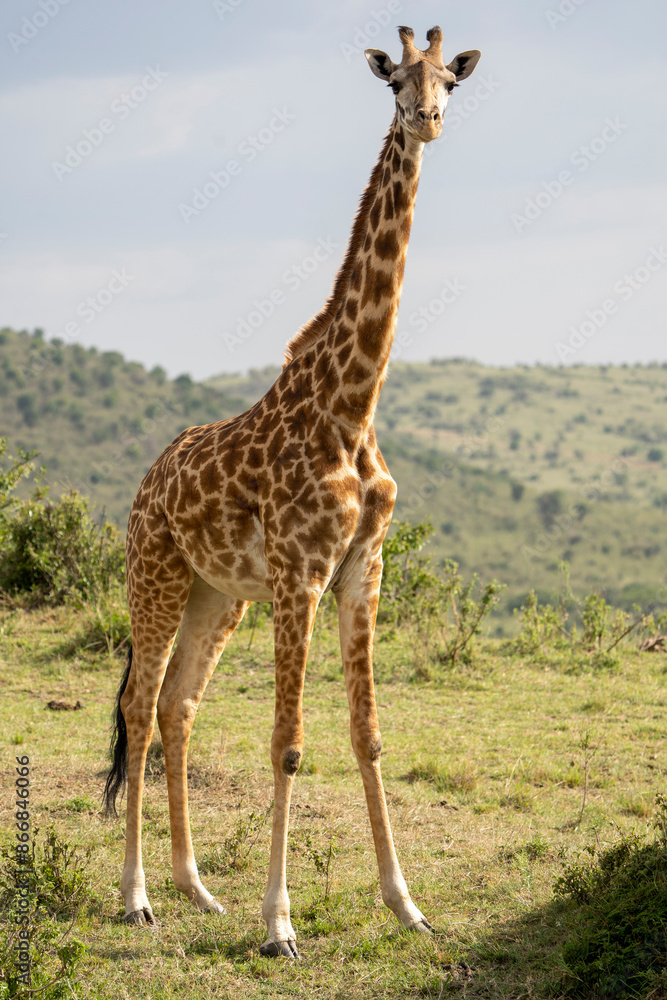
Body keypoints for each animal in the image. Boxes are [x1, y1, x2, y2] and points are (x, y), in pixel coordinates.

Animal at [104, 25, 481, 958]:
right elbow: (287, 743)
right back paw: (137, 897)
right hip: (156, 575)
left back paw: (197, 889)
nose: (426, 120)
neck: (351, 405)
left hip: (218, 594)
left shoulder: (359, 572)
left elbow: (368, 736)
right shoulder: (299, 574)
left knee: (179, 704)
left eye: (451, 81)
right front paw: (279, 925)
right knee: (138, 705)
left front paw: (407, 906)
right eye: (395, 83)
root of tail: (147, 481)